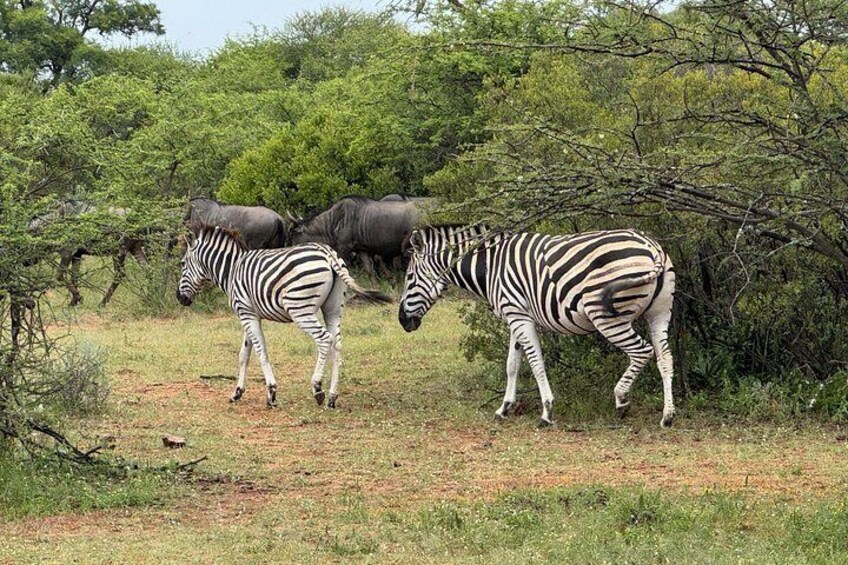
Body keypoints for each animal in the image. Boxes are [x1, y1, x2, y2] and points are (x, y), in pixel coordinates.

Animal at [177, 224, 392, 408]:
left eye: (182, 264)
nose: (179, 298)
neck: (231, 271)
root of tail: (327, 253)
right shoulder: (249, 314)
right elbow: (244, 355)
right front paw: (237, 393)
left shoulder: (246, 314)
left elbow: (261, 352)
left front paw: (271, 393)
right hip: (333, 309)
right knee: (337, 344)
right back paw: (332, 396)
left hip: (300, 309)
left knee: (324, 339)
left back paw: (318, 388)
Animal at [398, 225, 676, 428]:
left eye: (409, 277)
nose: (402, 320)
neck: (490, 267)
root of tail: (652, 247)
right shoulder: (515, 316)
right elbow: (512, 365)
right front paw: (504, 407)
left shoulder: (519, 316)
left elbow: (536, 363)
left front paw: (546, 411)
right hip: (659, 313)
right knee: (665, 357)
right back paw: (667, 415)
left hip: (606, 317)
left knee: (642, 352)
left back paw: (621, 400)